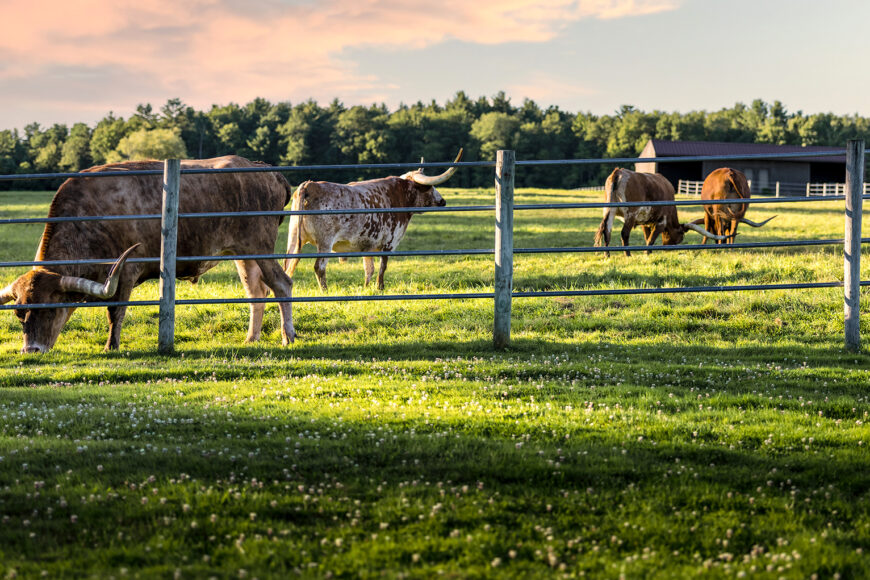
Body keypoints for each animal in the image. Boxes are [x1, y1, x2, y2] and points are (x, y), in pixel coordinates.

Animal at [0, 155, 296, 354]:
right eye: (19, 313)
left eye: (50, 309)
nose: (31, 350)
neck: (88, 219)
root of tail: (265, 169)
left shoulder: (126, 271)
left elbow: (115, 312)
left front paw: (111, 346)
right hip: (242, 253)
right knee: (256, 292)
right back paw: (251, 338)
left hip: (259, 245)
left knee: (282, 283)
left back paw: (288, 336)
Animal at [284, 150, 464, 290]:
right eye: (430, 187)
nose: (443, 201)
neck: (399, 196)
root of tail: (309, 185)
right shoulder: (389, 242)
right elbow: (383, 266)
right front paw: (380, 287)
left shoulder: (367, 245)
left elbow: (368, 268)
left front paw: (366, 287)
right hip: (325, 242)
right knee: (319, 266)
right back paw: (325, 291)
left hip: (294, 237)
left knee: (288, 263)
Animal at [592, 169, 728, 258]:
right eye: (681, 235)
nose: (667, 246)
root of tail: (618, 172)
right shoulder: (662, 221)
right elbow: (651, 238)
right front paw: (647, 253)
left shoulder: (644, 222)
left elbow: (648, 237)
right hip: (630, 214)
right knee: (624, 233)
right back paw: (628, 254)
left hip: (609, 210)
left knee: (607, 231)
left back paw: (607, 254)